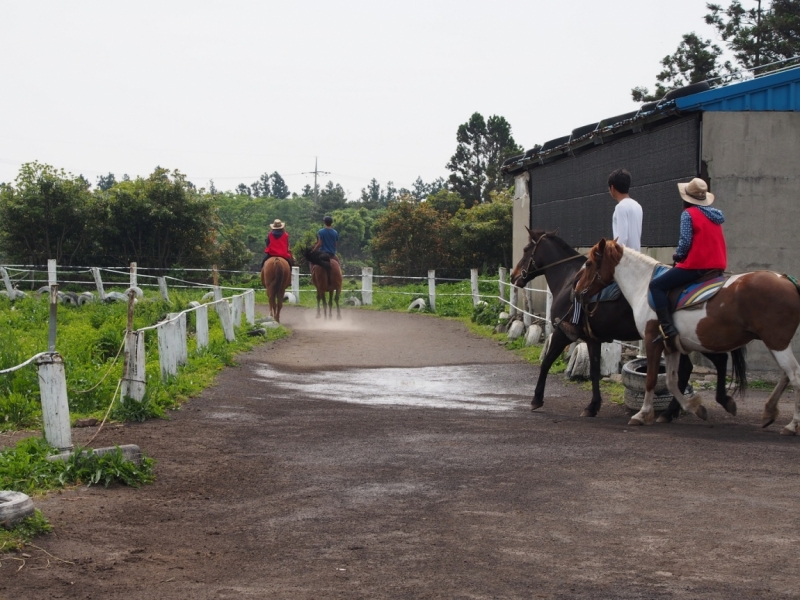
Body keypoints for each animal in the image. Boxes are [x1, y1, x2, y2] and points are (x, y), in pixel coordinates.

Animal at [510, 230, 748, 422]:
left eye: (526, 249)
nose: (514, 276)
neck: (569, 280)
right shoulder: (592, 339)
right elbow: (594, 370)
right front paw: (593, 406)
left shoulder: (563, 332)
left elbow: (546, 362)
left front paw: (536, 399)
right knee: (700, 366)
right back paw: (675, 411)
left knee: (706, 364)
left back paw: (675, 411)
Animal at [576, 239, 800, 436]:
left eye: (588, 263)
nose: (577, 291)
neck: (644, 285)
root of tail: (786, 280)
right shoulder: (671, 346)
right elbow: (671, 381)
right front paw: (695, 408)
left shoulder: (652, 341)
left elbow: (651, 379)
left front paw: (642, 414)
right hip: (775, 342)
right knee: (785, 374)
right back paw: (769, 412)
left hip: (776, 342)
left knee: (794, 375)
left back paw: (792, 425)